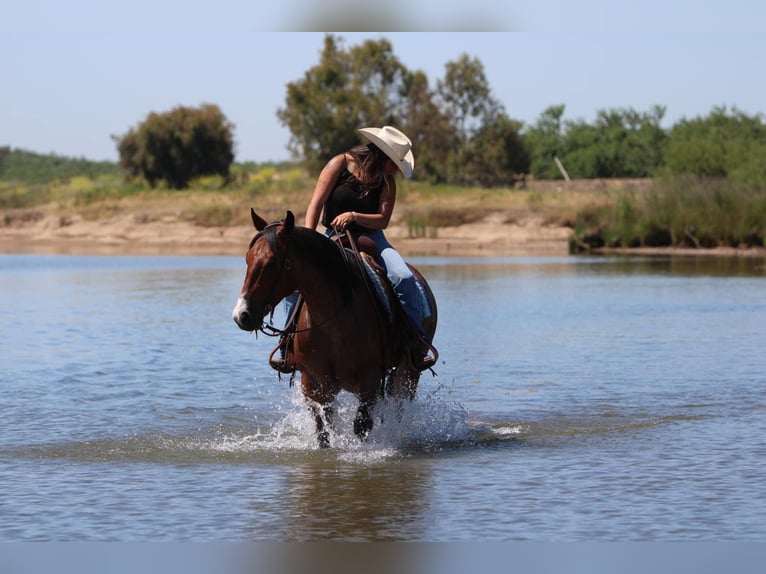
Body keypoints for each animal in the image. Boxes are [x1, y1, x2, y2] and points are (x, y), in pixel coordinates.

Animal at [232, 209, 438, 448]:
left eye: (272, 262)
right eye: (247, 260)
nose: (241, 315)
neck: (333, 323)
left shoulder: (369, 383)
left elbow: (361, 426)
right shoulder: (314, 385)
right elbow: (323, 431)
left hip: (409, 373)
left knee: (400, 408)